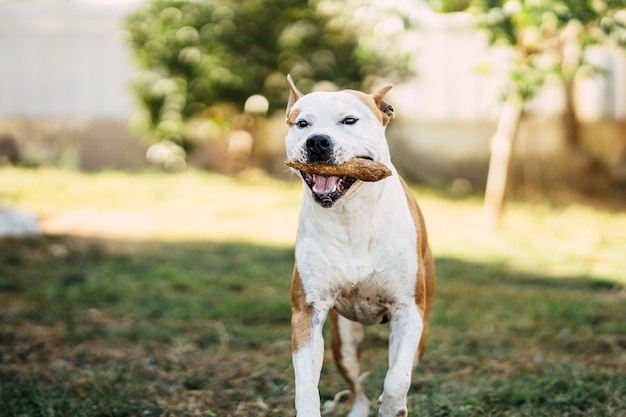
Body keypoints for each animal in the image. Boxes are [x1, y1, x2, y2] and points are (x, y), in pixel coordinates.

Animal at [286, 75, 436, 416]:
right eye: (302, 123)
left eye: (349, 120)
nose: (317, 141)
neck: (349, 215)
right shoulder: (307, 311)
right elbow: (306, 385)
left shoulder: (408, 310)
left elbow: (397, 379)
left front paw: (393, 406)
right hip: (344, 340)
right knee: (356, 387)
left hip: (420, 331)